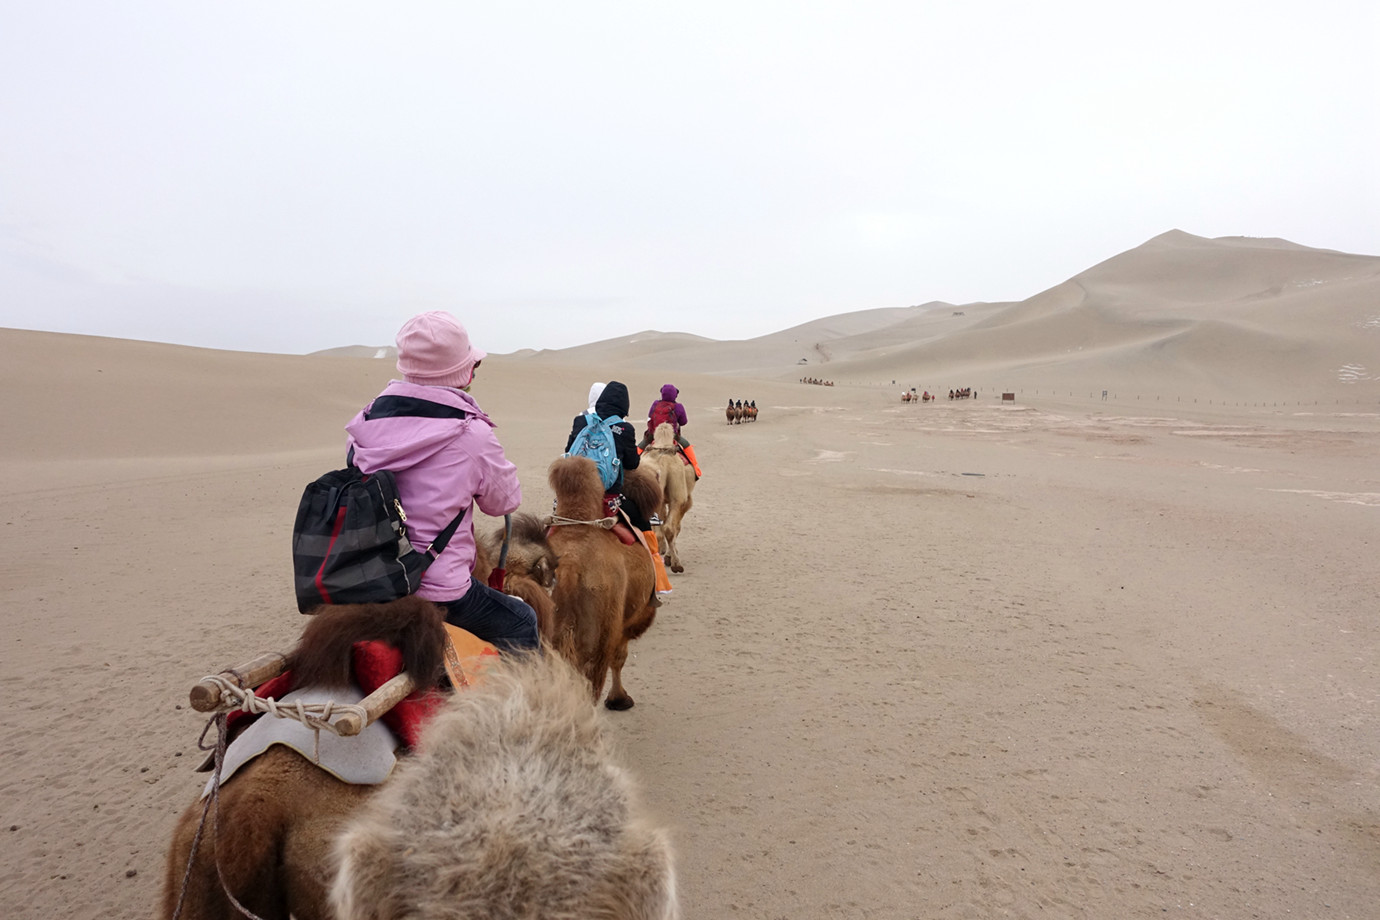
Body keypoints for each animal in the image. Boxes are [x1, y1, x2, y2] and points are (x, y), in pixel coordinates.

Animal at [543, 457, 656, 711]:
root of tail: (569, 569)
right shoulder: (623, 623)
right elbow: (619, 657)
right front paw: (619, 699)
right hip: (598, 633)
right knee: (592, 679)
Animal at [640, 427, 695, 576]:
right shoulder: (685, 501)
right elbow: (676, 527)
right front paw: (670, 555)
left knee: (660, 530)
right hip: (679, 495)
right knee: (669, 528)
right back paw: (676, 564)